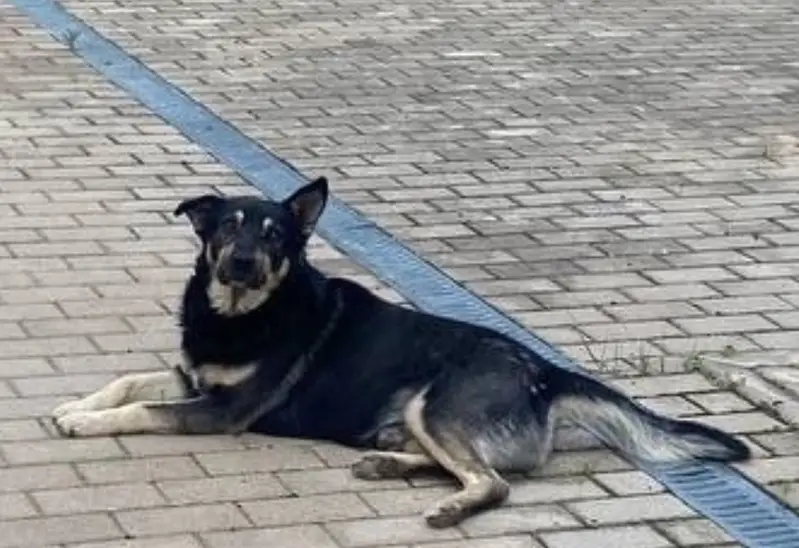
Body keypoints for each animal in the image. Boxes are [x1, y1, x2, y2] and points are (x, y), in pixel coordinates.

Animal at [52, 176, 751, 527]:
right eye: (227, 227)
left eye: (275, 235)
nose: (244, 263)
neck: (240, 314)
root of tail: (544, 372)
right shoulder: (191, 377)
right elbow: (126, 382)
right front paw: (74, 405)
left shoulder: (219, 411)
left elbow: (141, 410)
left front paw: (84, 423)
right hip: (424, 417)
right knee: (472, 465)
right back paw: (386, 462)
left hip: (435, 405)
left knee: (494, 481)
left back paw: (447, 506)